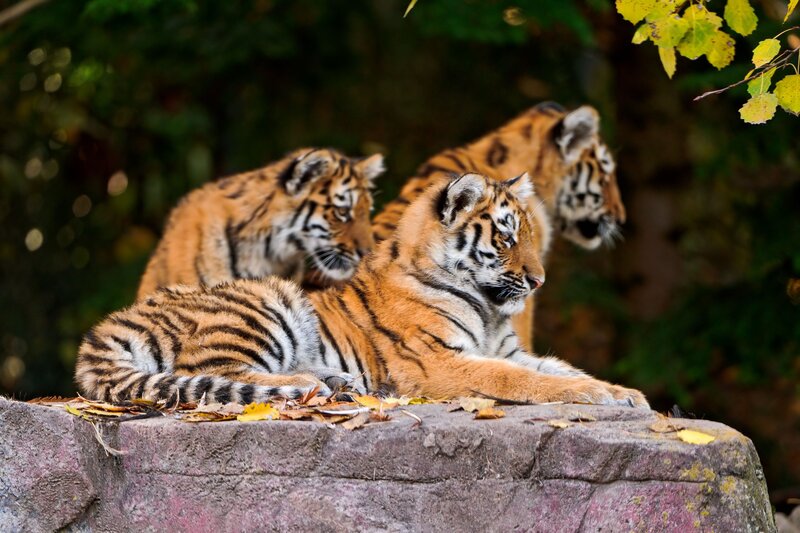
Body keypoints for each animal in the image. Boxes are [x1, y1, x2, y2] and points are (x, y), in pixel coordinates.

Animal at [75, 171, 648, 409]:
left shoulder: (510, 349)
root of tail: (107, 325)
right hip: (267, 300)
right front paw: (601, 395)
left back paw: (340, 383)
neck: (488, 308)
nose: (538, 280)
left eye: (530, 235)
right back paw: (314, 383)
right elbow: (518, 379)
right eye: (507, 237)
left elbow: (559, 369)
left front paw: (625, 393)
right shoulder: (437, 361)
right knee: (211, 372)